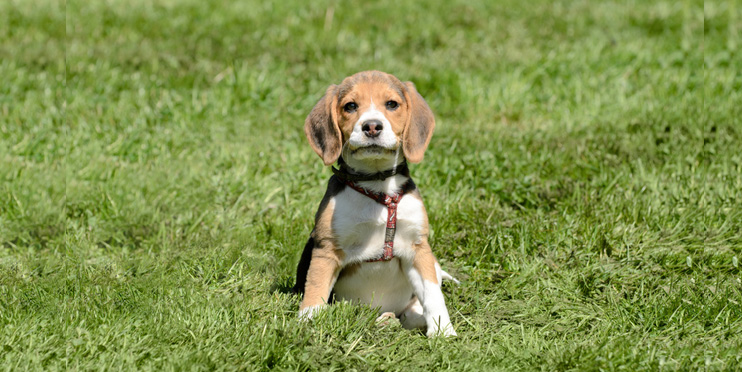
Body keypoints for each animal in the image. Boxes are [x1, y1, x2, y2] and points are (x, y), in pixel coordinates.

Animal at [292, 70, 456, 338]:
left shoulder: (418, 249)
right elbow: (315, 287)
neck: (378, 185)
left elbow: (433, 293)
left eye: (391, 104)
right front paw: (309, 321)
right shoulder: (326, 249)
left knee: (412, 313)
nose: (371, 126)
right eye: (350, 106)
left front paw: (443, 330)